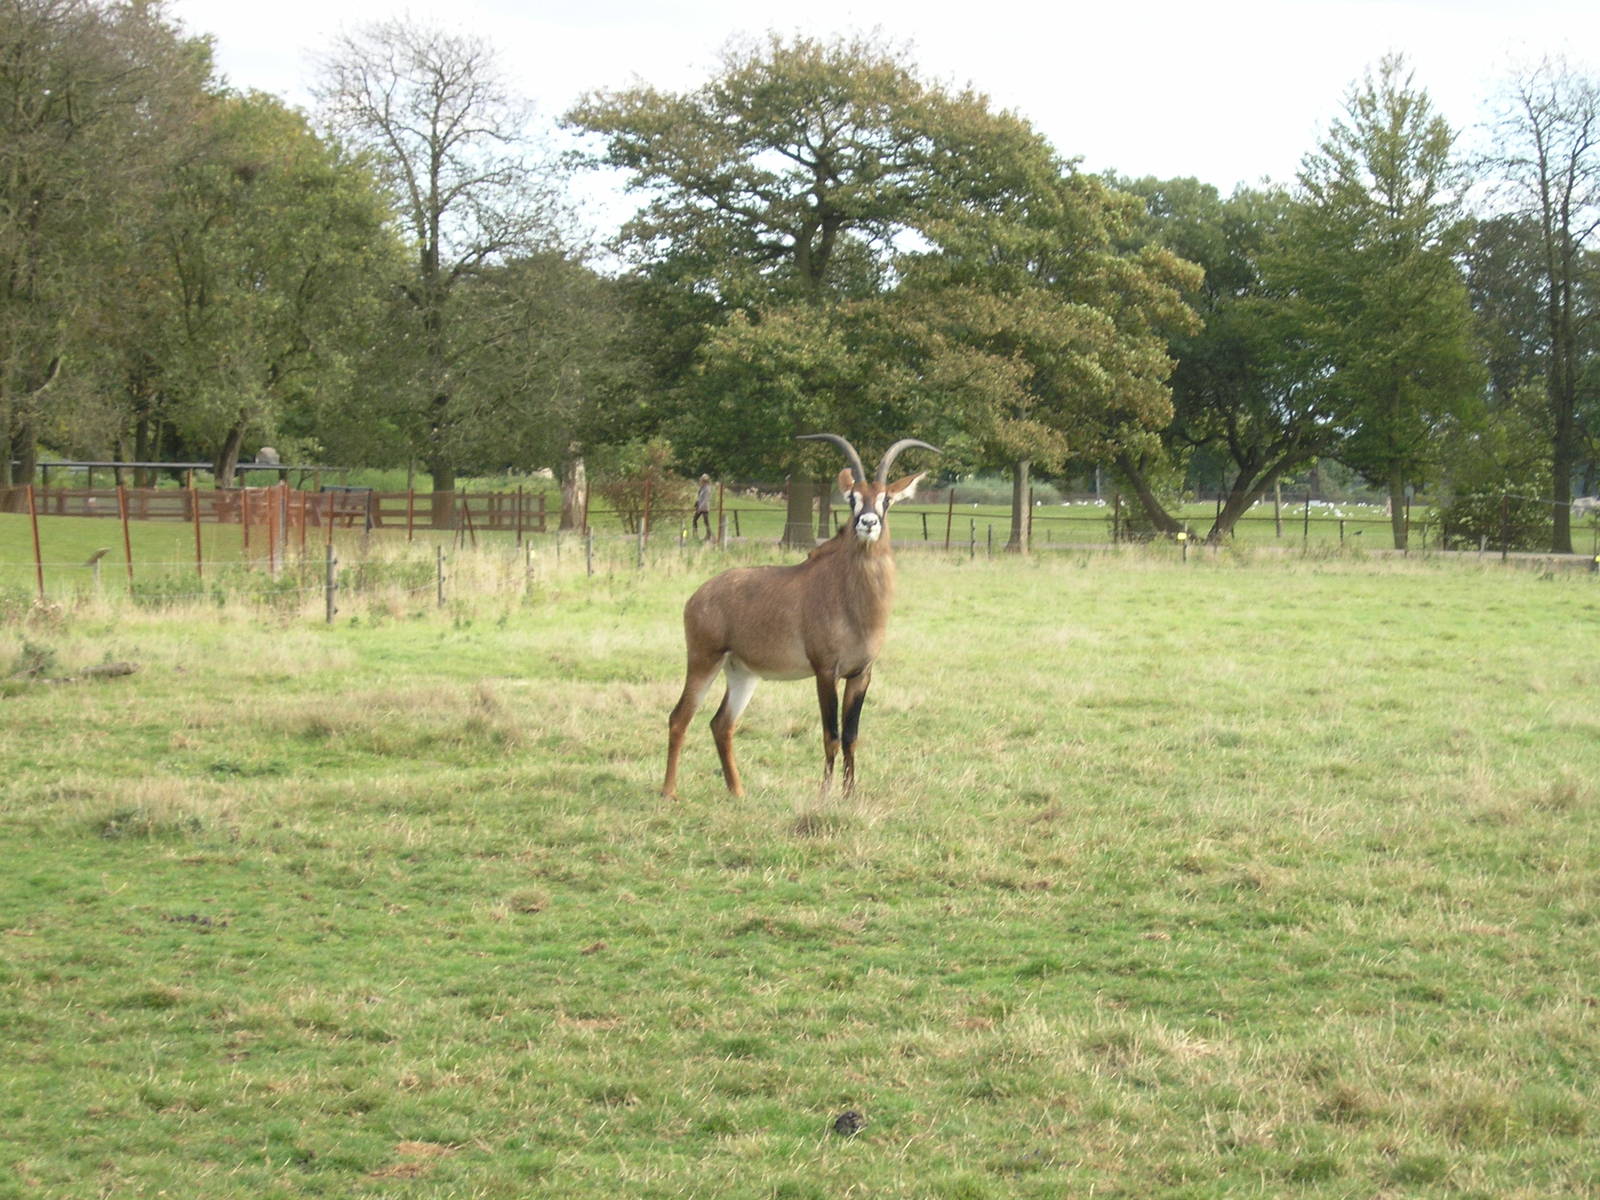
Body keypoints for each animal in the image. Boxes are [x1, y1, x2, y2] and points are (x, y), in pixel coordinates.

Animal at [661, 434, 939, 800]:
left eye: (887, 499)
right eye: (852, 498)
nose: (868, 523)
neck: (852, 601)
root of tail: (698, 595)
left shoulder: (861, 674)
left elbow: (851, 736)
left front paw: (849, 795)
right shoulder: (825, 672)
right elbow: (831, 735)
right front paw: (824, 795)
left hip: (742, 673)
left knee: (721, 723)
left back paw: (738, 792)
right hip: (703, 661)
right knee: (679, 717)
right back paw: (669, 792)